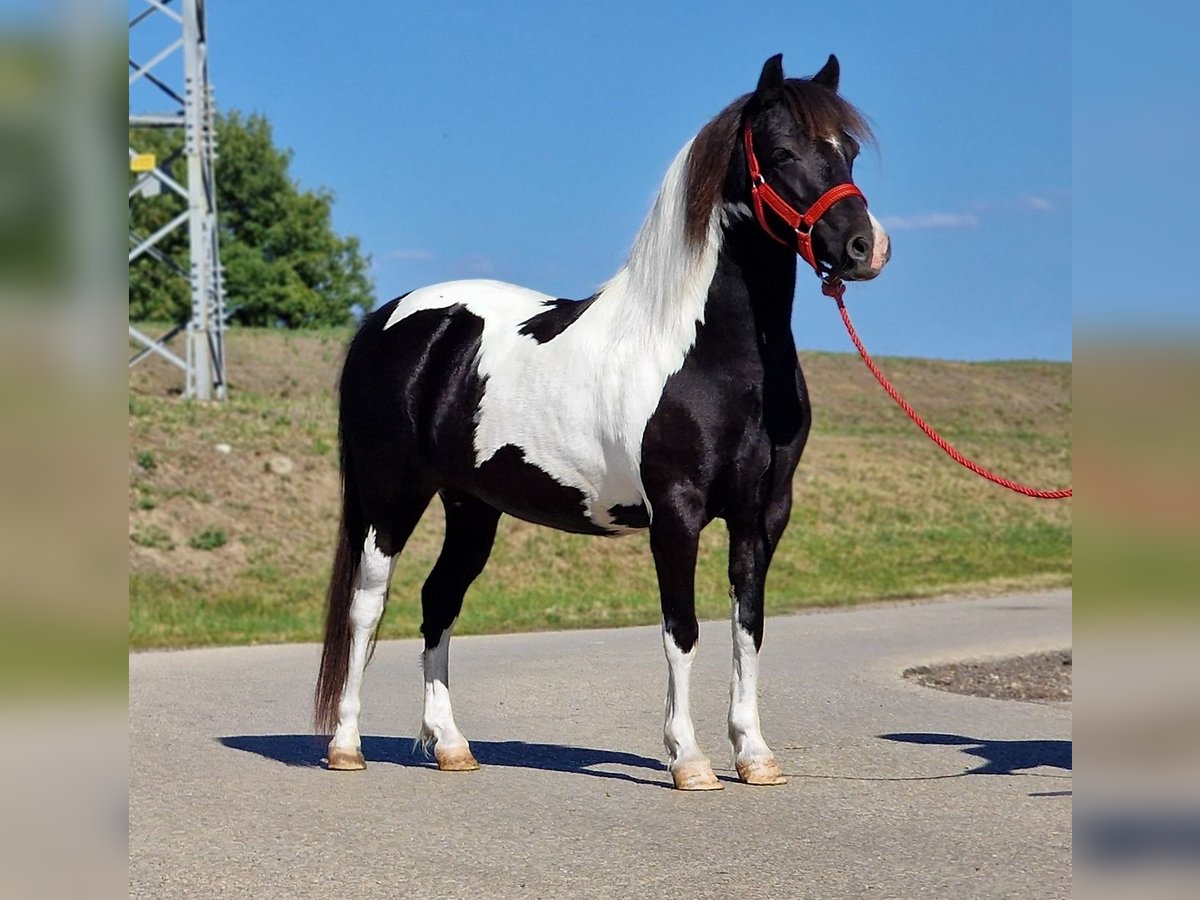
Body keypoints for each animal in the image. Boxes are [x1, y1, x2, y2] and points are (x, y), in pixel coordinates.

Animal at [315, 52, 890, 790]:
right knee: (367, 604)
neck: (711, 358)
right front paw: (689, 760)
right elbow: (682, 629)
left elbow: (748, 627)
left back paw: (451, 746)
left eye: (847, 151)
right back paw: (346, 745)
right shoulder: (676, 512)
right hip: (392, 496)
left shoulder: (762, 514)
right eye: (784, 153)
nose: (864, 247)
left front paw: (754, 755)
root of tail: (388, 318)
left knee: (438, 600)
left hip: (471, 507)